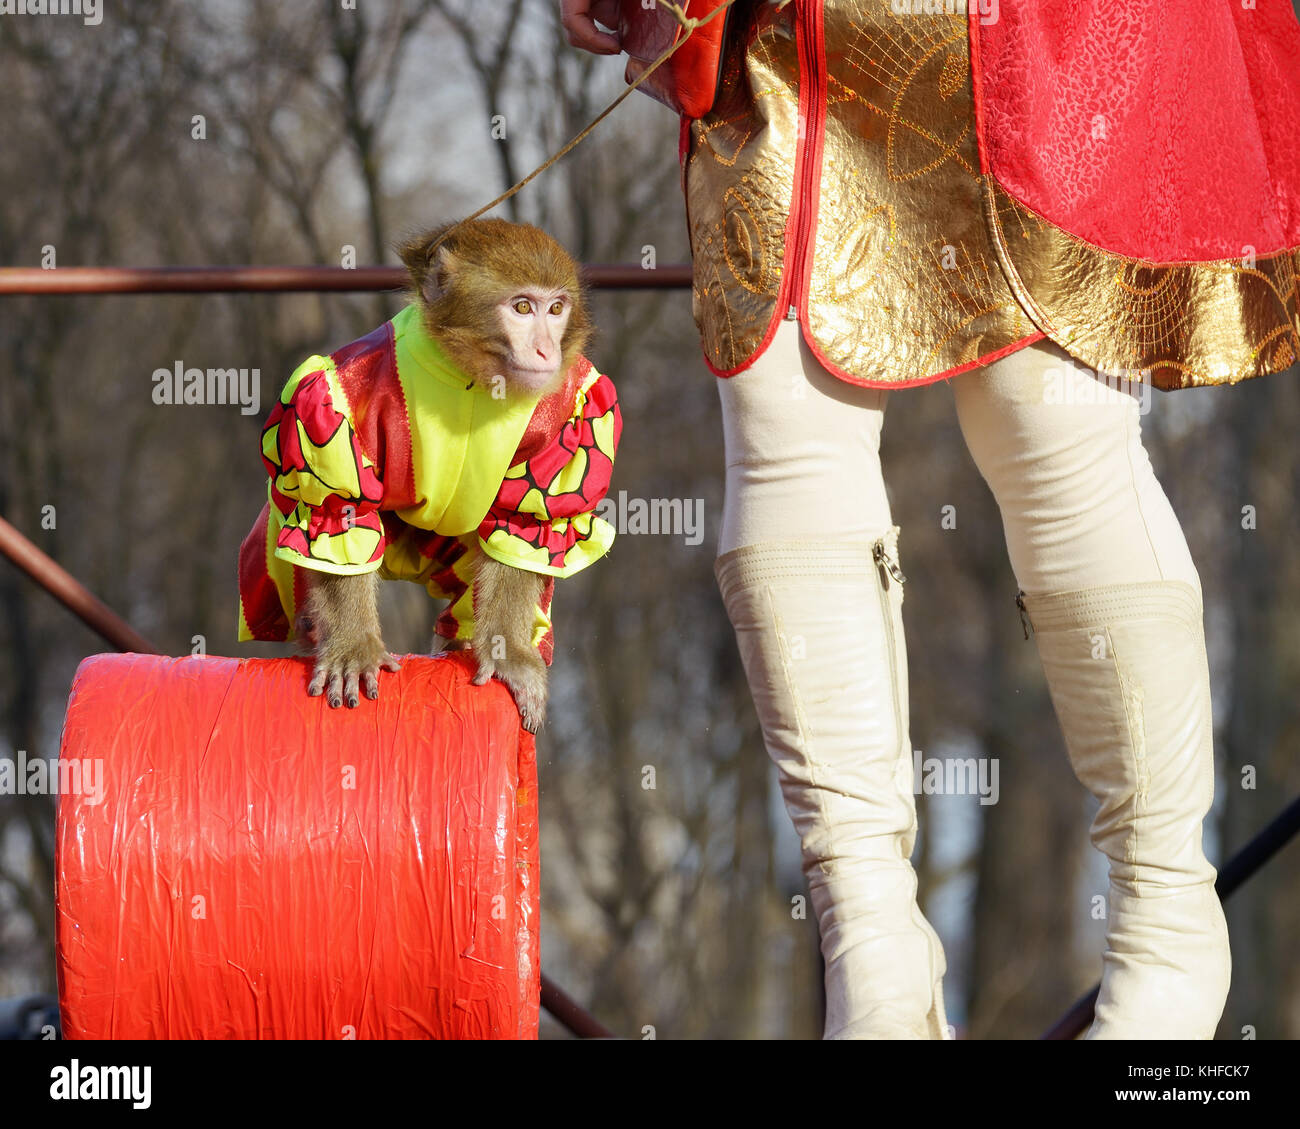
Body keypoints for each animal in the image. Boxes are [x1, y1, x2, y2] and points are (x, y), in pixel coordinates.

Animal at [238, 219, 621, 733]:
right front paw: (353, 646)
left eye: (556, 309)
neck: (472, 378)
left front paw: (508, 654)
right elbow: (340, 511)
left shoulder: (575, 415)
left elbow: (523, 524)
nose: (546, 351)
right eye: (522, 307)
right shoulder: (327, 402)